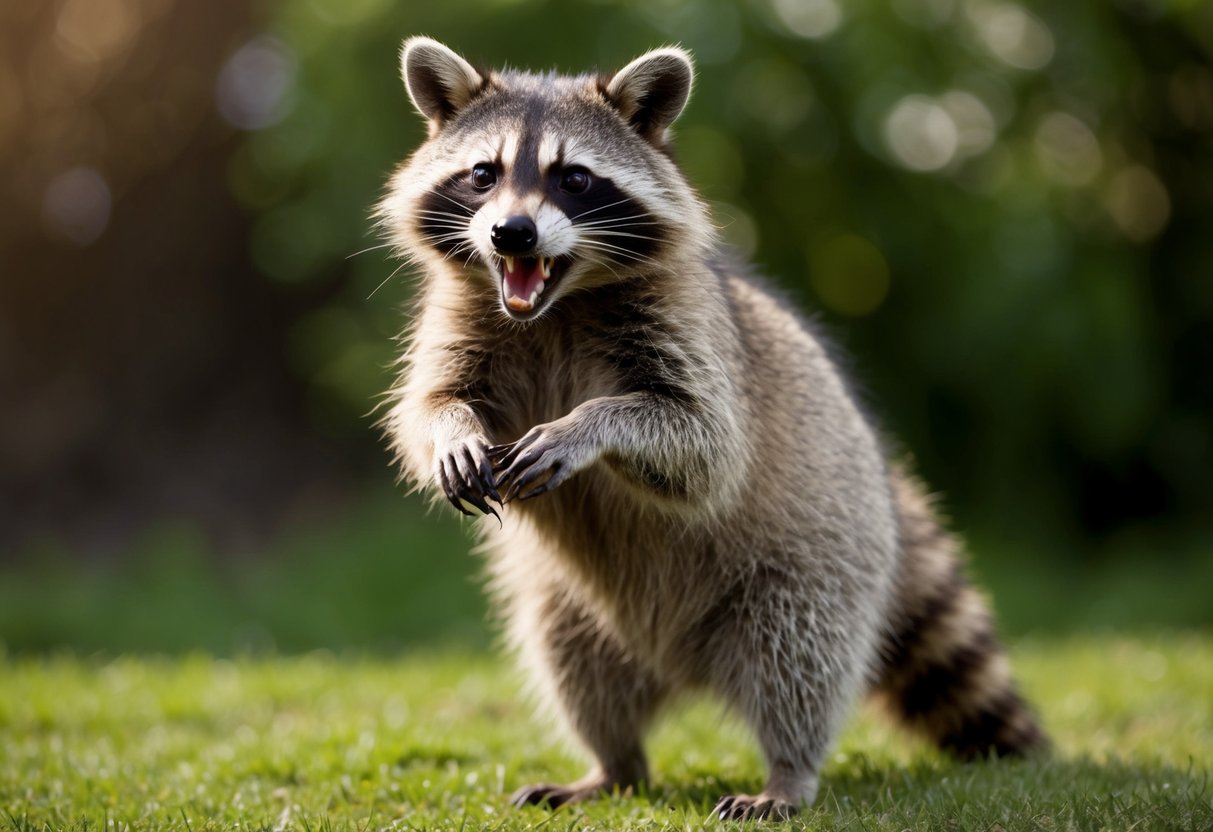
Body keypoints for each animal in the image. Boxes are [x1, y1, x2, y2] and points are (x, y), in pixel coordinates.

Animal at [378, 37, 1047, 820]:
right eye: (483, 174)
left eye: (574, 178)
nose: (510, 233)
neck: (556, 303)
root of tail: (677, 664)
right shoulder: (461, 318)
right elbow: (425, 406)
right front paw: (451, 431)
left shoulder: (688, 323)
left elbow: (704, 444)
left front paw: (586, 426)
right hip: (572, 605)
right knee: (575, 666)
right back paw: (613, 764)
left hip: (820, 562)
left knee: (798, 659)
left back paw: (788, 771)